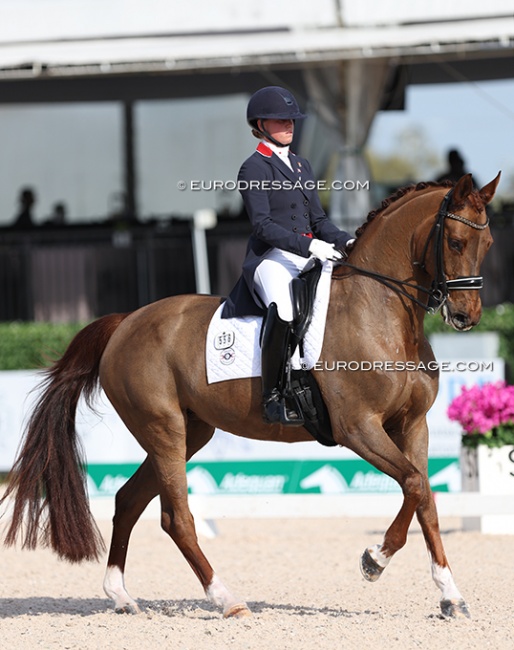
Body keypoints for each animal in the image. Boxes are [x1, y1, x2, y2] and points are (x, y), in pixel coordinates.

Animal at [0, 172, 496, 616]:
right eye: (455, 243)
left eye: (487, 244)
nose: (466, 316)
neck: (381, 313)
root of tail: (126, 321)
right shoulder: (358, 428)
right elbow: (413, 484)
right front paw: (374, 560)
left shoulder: (412, 425)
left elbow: (425, 497)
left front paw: (450, 596)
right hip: (163, 428)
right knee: (176, 517)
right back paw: (226, 599)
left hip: (189, 432)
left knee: (128, 500)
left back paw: (121, 597)